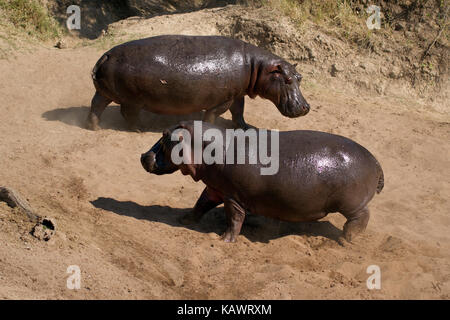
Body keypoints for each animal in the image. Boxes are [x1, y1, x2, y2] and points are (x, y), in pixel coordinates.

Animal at [85, 34, 310, 130]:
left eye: (300, 77)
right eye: (287, 79)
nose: (306, 107)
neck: (257, 66)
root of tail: (106, 55)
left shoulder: (237, 94)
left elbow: (239, 112)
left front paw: (246, 128)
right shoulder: (223, 100)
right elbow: (213, 115)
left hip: (105, 92)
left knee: (96, 105)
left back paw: (94, 128)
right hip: (132, 99)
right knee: (127, 113)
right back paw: (140, 128)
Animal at [141, 121, 384, 244]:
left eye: (165, 136)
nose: (143, 156)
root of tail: (376, 162)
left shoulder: (233, 196)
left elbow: (234, 219)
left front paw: (223, 240)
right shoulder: (215, 188)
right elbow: (200, 204)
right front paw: (183, 219)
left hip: (351, 204)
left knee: (362, 216)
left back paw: (346, 239)